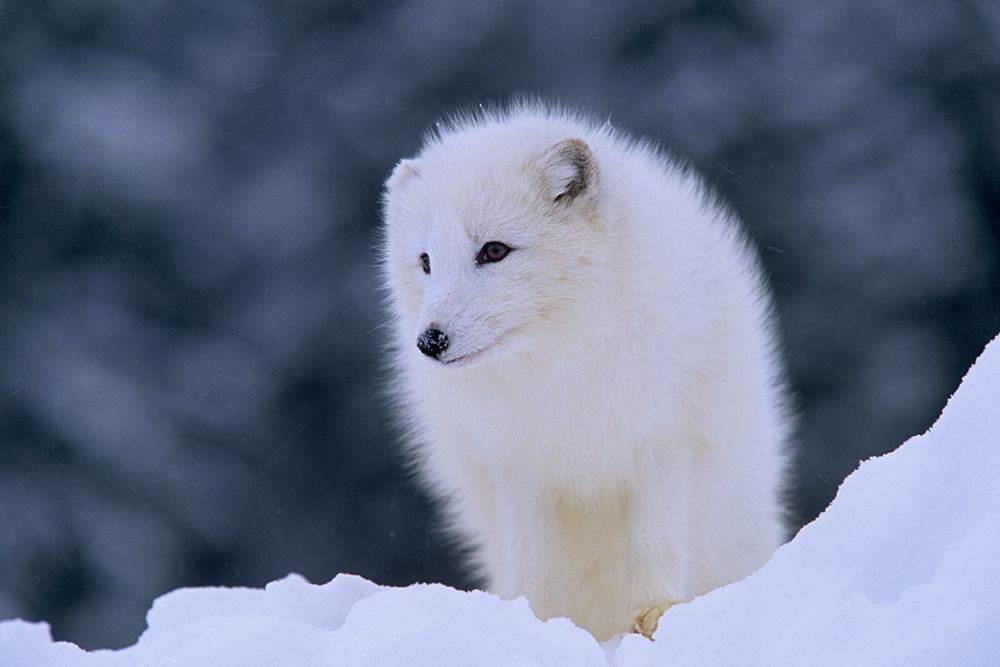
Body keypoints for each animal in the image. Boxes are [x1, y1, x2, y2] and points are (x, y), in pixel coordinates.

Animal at [378, 102, 791, 641]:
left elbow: (655, 543)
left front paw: (655, 615)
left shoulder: (664, 440)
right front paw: (534, 622)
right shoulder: (516, 464)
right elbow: (534, 563)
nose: (430, 341)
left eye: (494, 250)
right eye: (426, 262)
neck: (561, 363)